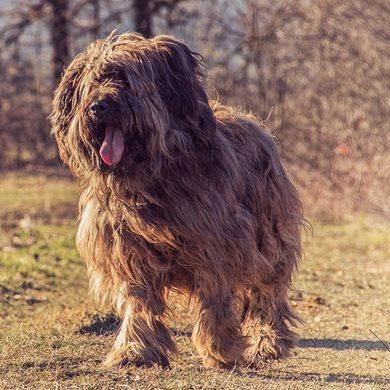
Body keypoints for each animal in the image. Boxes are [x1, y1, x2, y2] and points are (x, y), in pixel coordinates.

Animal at [50, 31, 304, 368]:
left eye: (125, 81)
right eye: (92, 84)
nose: (98, 107)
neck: (151, 179)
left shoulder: (218, 244)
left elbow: (215, 298)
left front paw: (220, 347)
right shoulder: (127, 249)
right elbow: (139, 302)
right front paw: (136, 349)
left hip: (270, 235)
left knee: (267, 292)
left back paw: (269, 342)